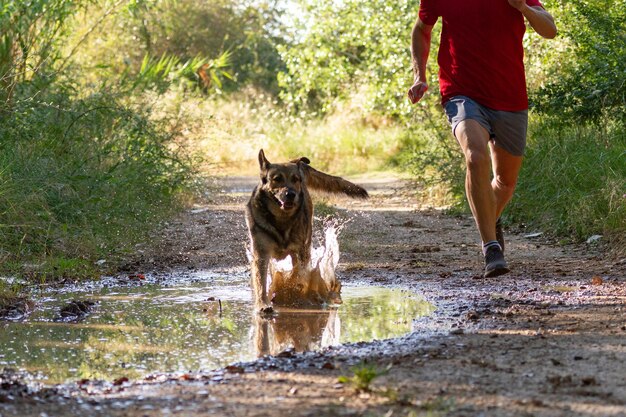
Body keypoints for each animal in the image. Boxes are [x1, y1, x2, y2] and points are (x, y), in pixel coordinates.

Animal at [246, 149, 368, 312]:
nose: (291, 194)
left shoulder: (300, 251)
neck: (282, 219)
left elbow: (299, 276)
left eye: (295, 179)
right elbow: (261, 282)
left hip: (306, 242)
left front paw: (297, 296)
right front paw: (263, 304)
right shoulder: (261, 253)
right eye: (277, 179)